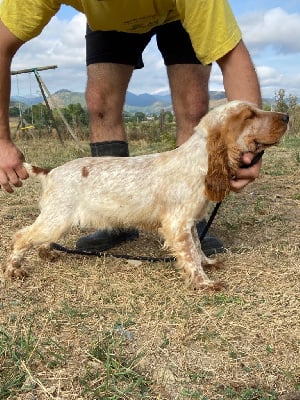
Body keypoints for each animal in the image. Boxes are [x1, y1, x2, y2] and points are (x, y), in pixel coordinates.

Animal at [1, 99, 288, 288]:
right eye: (249, 115)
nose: (286, 116)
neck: (200, 161)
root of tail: (51, 171)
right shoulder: (177, 224)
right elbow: (189, 256)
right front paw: (204, 282)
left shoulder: (189, 223)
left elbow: (197, 247)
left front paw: (208, 263)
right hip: (56, 219)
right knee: (20, 237)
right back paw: (14, 270)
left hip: (57, 220)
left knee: (38, 239)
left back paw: (47, 254)